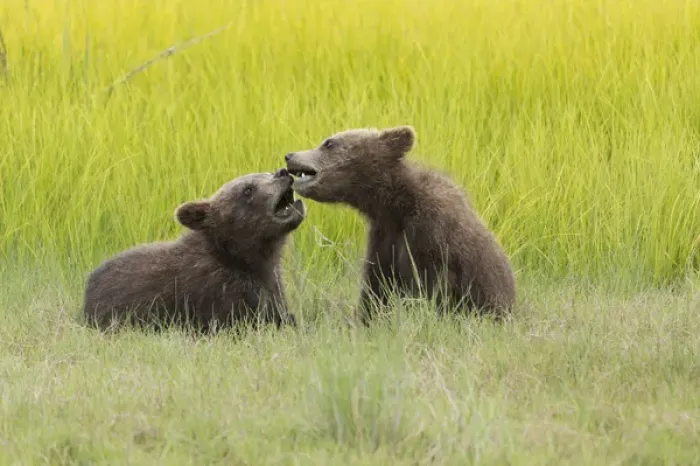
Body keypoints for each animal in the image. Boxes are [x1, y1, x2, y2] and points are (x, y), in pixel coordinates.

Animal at [284, 125, 516, 325]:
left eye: (329, 143)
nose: (289, 156)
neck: (396, 205)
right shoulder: (384, 236)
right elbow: (377, 286)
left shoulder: (433, 234)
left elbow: (431, 288)